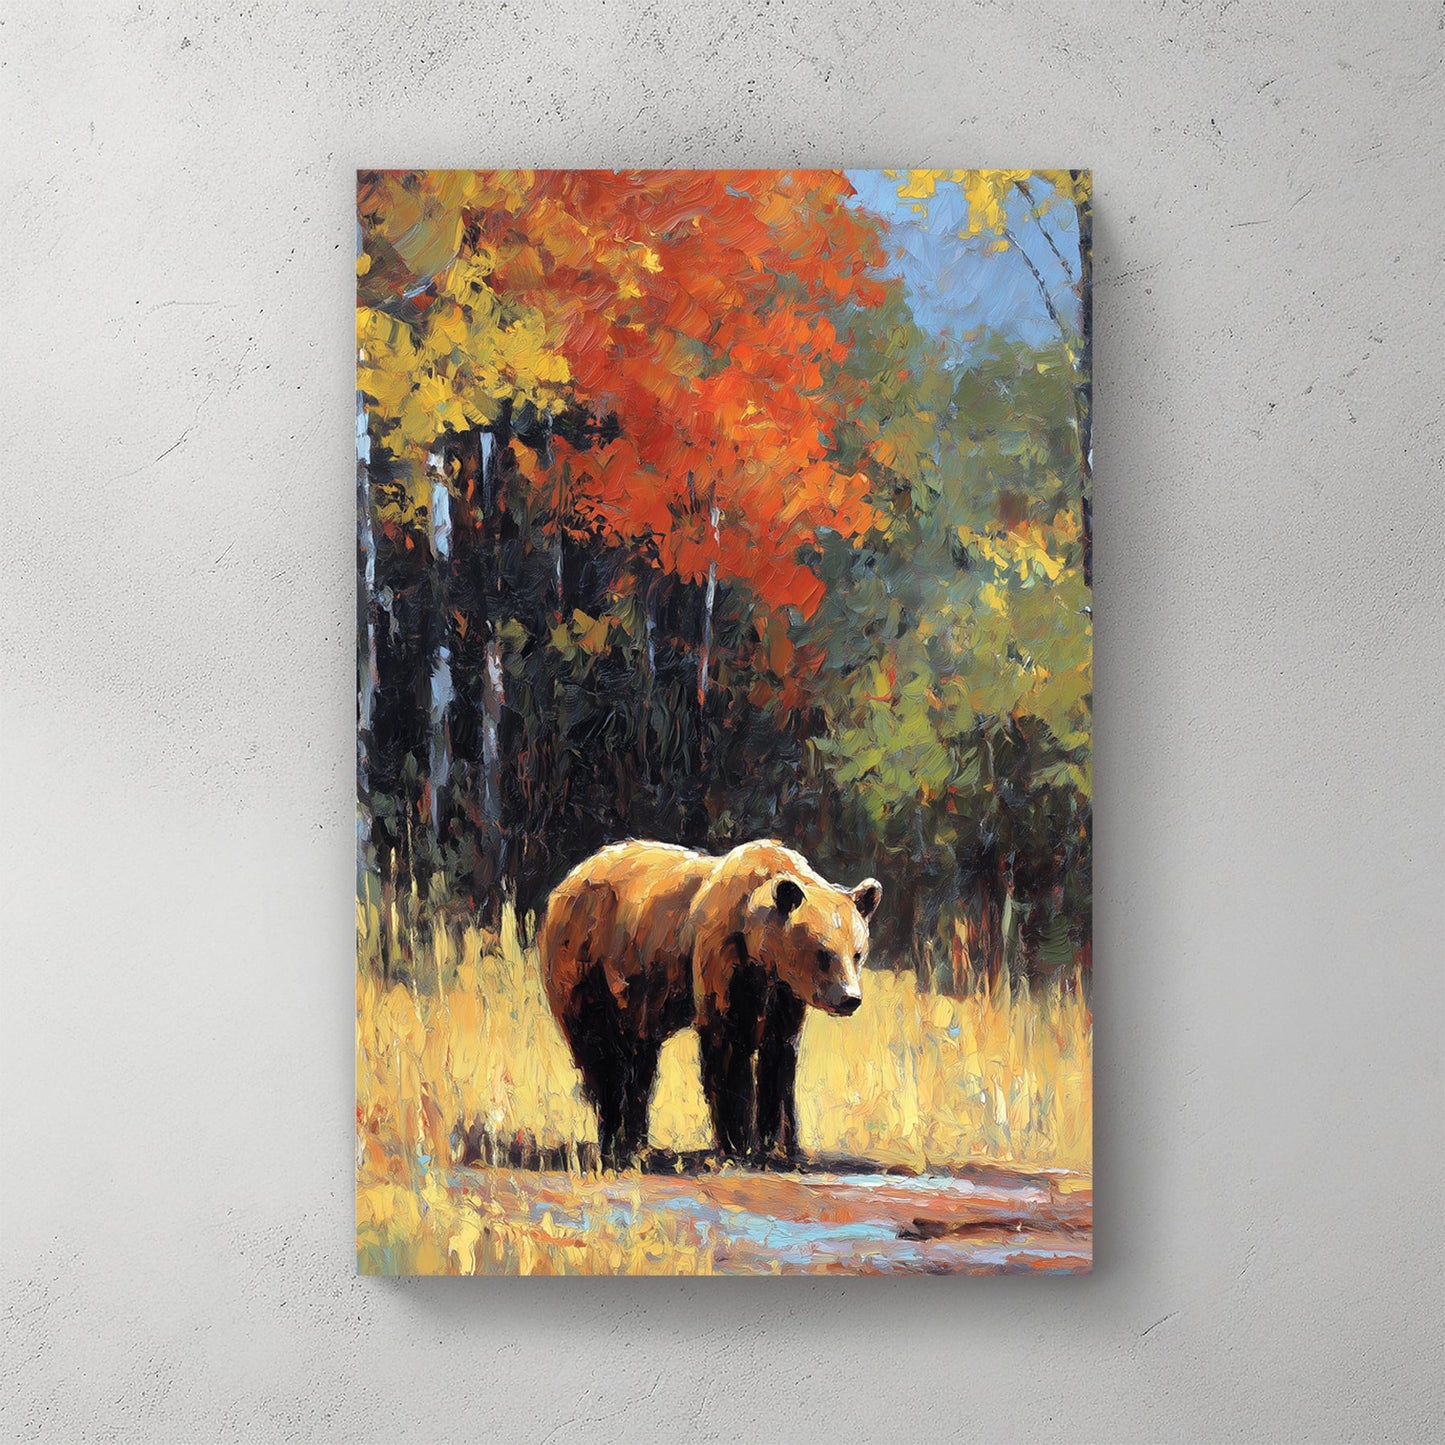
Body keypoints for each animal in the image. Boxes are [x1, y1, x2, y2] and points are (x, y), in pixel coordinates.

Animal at [539, 838, 882, 1166]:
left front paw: (779, 1146)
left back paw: (638, 1144)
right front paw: (738, 1144)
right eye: (823, 953)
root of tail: (568, 878)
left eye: (857, 952)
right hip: (584, 962)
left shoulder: (783, 995)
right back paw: (613, 1143)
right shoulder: (722, 963)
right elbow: (728, 1050)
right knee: (598, 1054)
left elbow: (779, 1059)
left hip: (638, 991)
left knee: (640, 1062)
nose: (849, 998)